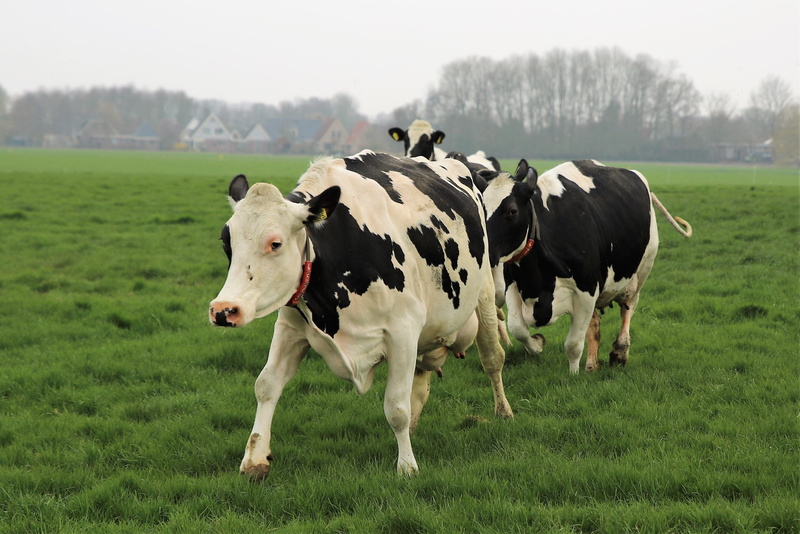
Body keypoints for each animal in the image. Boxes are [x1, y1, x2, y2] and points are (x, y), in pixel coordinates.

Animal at [209, 150, 513, 480]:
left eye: (275, 243)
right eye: (226, 242)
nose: (223, 309)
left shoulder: (403, 332)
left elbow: (396, 407)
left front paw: (407, 466)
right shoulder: (290, 328)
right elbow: (266, 385)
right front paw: (255, 458)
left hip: (484, 294)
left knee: (492, 359)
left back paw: (503, 411)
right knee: (421, 382)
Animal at [482, 159, 692, 374]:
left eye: (512, 211)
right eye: (480, 206)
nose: (483, 249)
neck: (537, 278)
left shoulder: (587, 290)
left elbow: (573, 344)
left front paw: (573, 375)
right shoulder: (513, 284)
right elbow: (518, 328)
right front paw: (538, 344)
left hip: (641, 272)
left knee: (628, 308)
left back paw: (620, 352)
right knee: (595, 323)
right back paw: (592, 364)